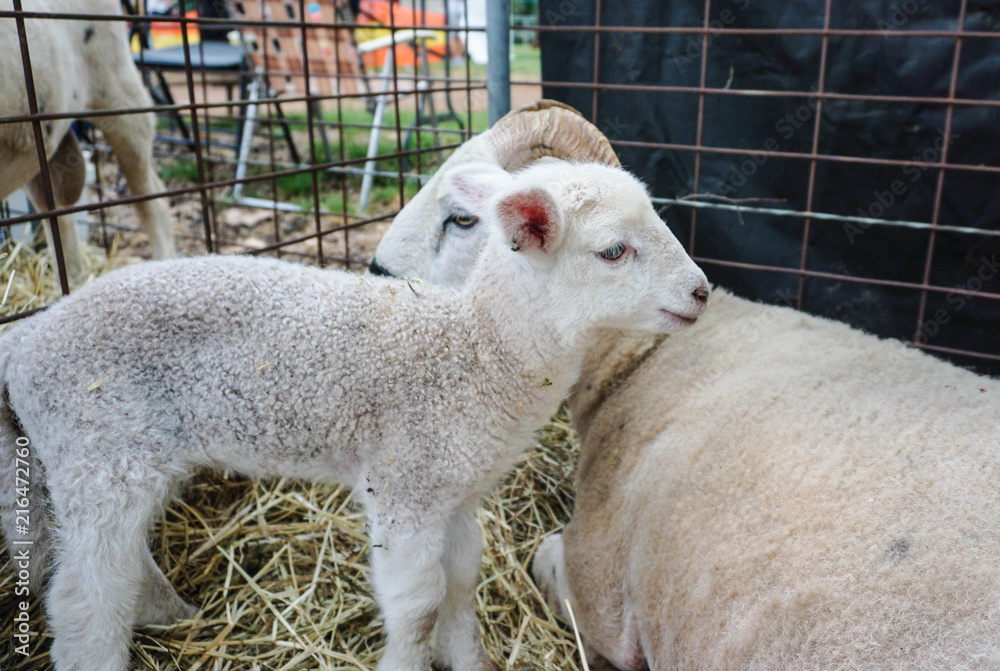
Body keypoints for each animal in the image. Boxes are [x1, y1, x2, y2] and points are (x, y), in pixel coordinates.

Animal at [0, 158, 710, 671]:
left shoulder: (453, 490)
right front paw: (408, 661)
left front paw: (468, 660)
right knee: (84, 596)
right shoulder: (405, 483)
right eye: (613, 251)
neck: (478, 350)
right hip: (99, 449)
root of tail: (26, 338)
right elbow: (418, 604)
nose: (702, 291)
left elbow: (461, 582)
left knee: (118, 565)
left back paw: (173, 612)